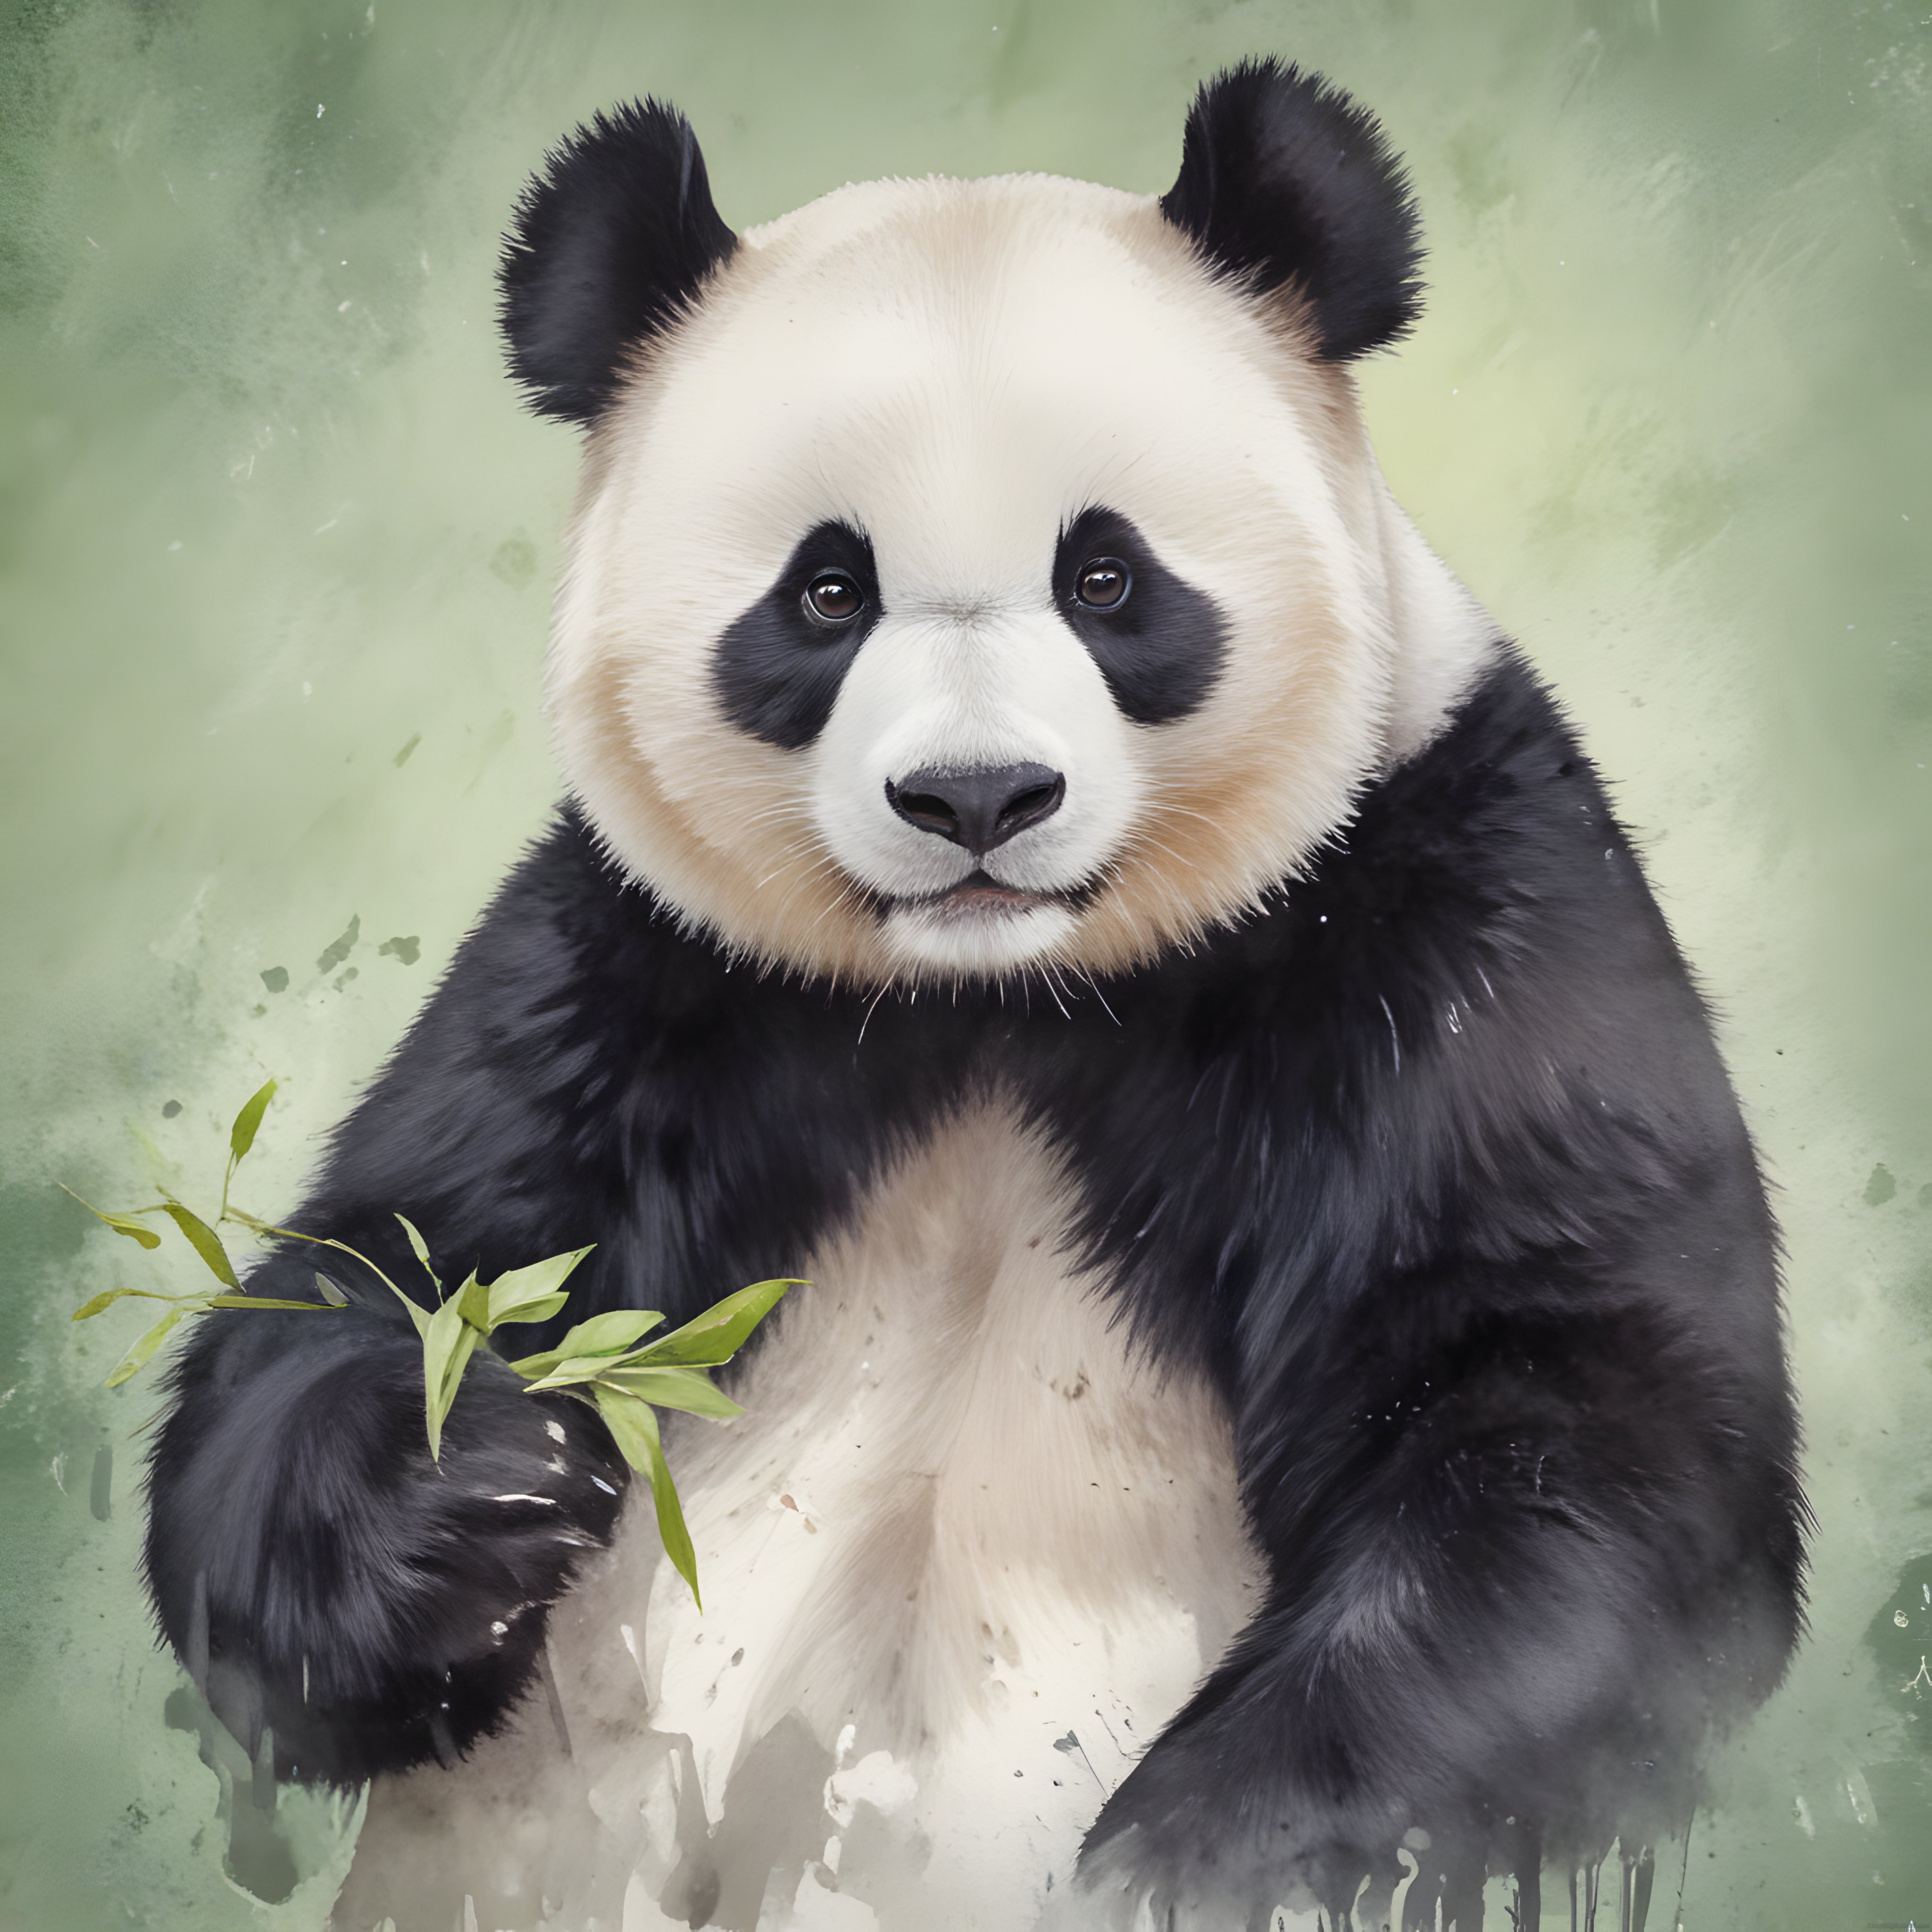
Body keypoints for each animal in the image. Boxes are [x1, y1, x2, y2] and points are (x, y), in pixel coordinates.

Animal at [146, 58, 1805, 1932]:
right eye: (824, 590)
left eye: (1107, 576)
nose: (976, 799)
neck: (1002, 1000)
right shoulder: (646, 976)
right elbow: (396, 1262)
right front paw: (474, 1496)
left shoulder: (1445, 922)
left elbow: (1571, 1403)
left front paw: (1215, 1856)